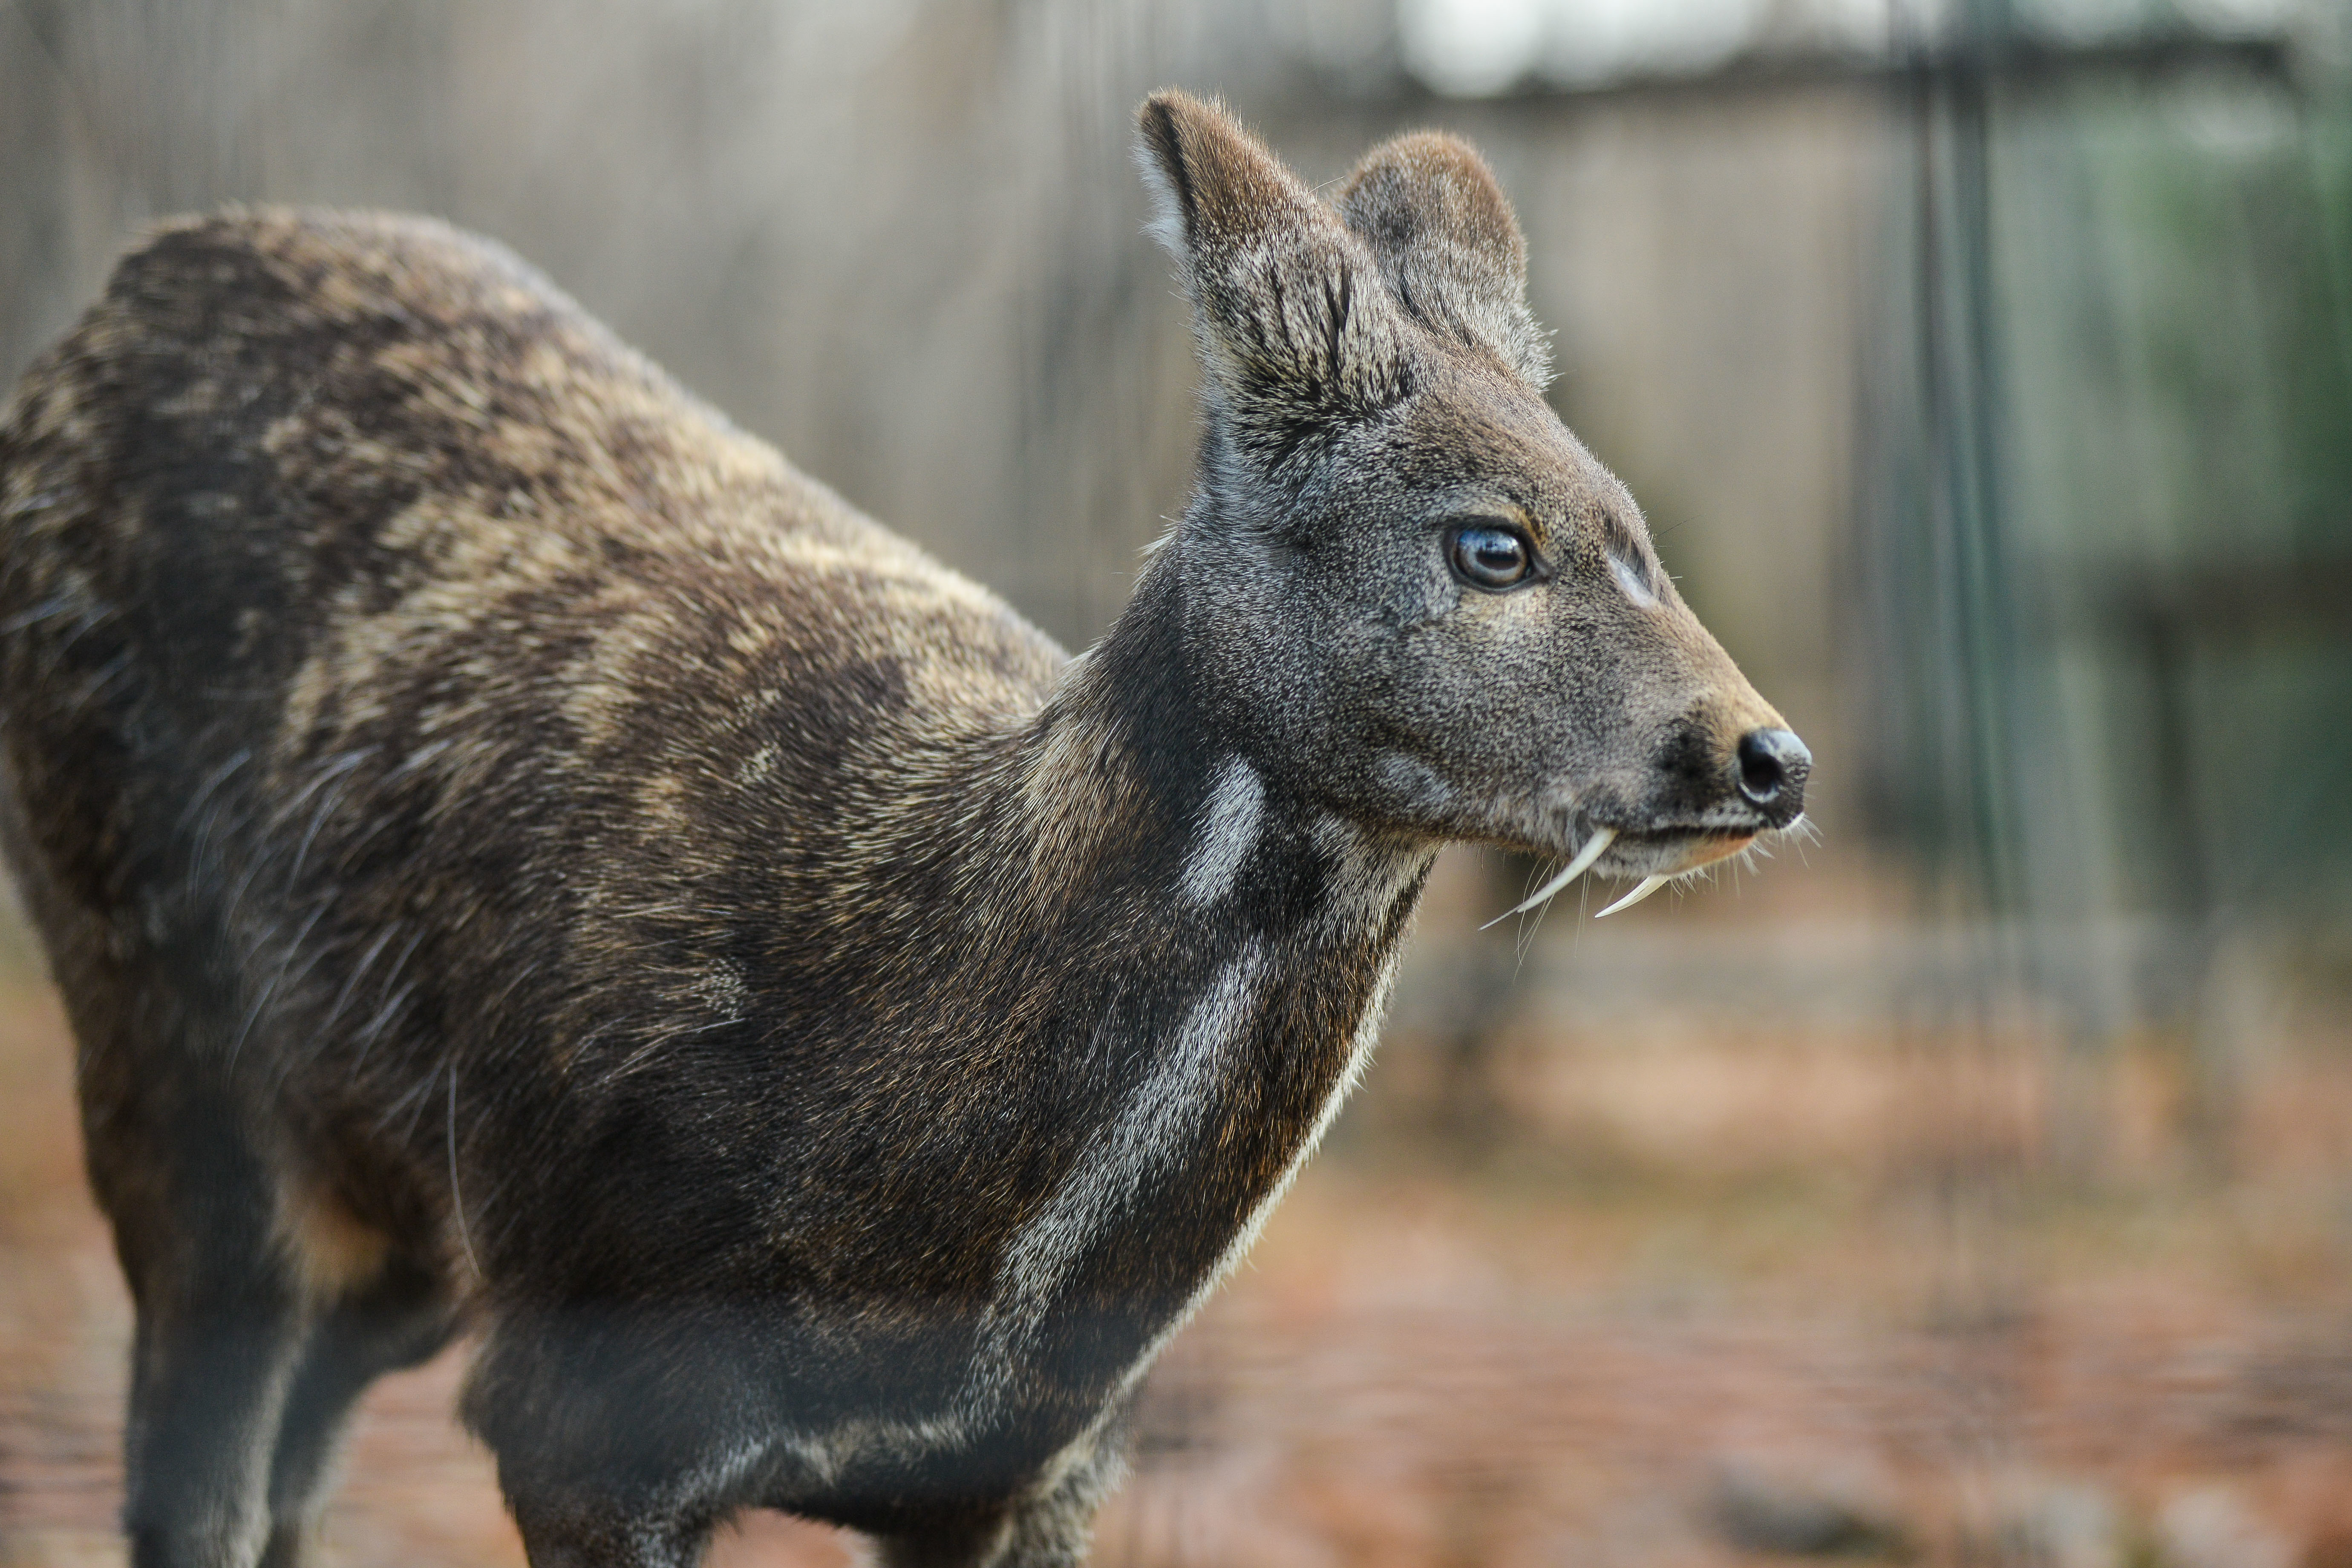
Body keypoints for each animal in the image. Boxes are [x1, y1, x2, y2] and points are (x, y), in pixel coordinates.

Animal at [0, 92, 1797, 1561]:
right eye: (1491, 543)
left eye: (1639, 527)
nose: (1766, 755)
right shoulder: (585, 1415)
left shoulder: (1035, 1473)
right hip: (157, 1031)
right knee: (196, 1468)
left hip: (396, 1221)